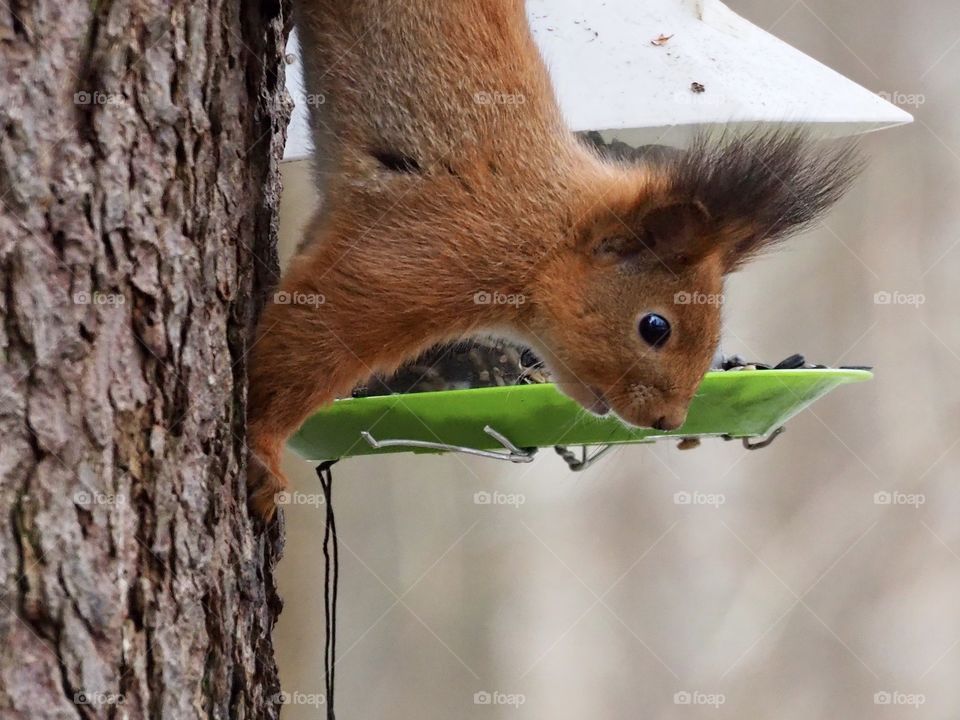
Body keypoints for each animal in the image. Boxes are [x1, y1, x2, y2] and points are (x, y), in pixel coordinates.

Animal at [246, 0, 861, 519]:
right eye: (655, 327)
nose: (667, 422)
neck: (545, 236)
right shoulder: (427, 251)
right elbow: (307, 337)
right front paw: (262, 450)